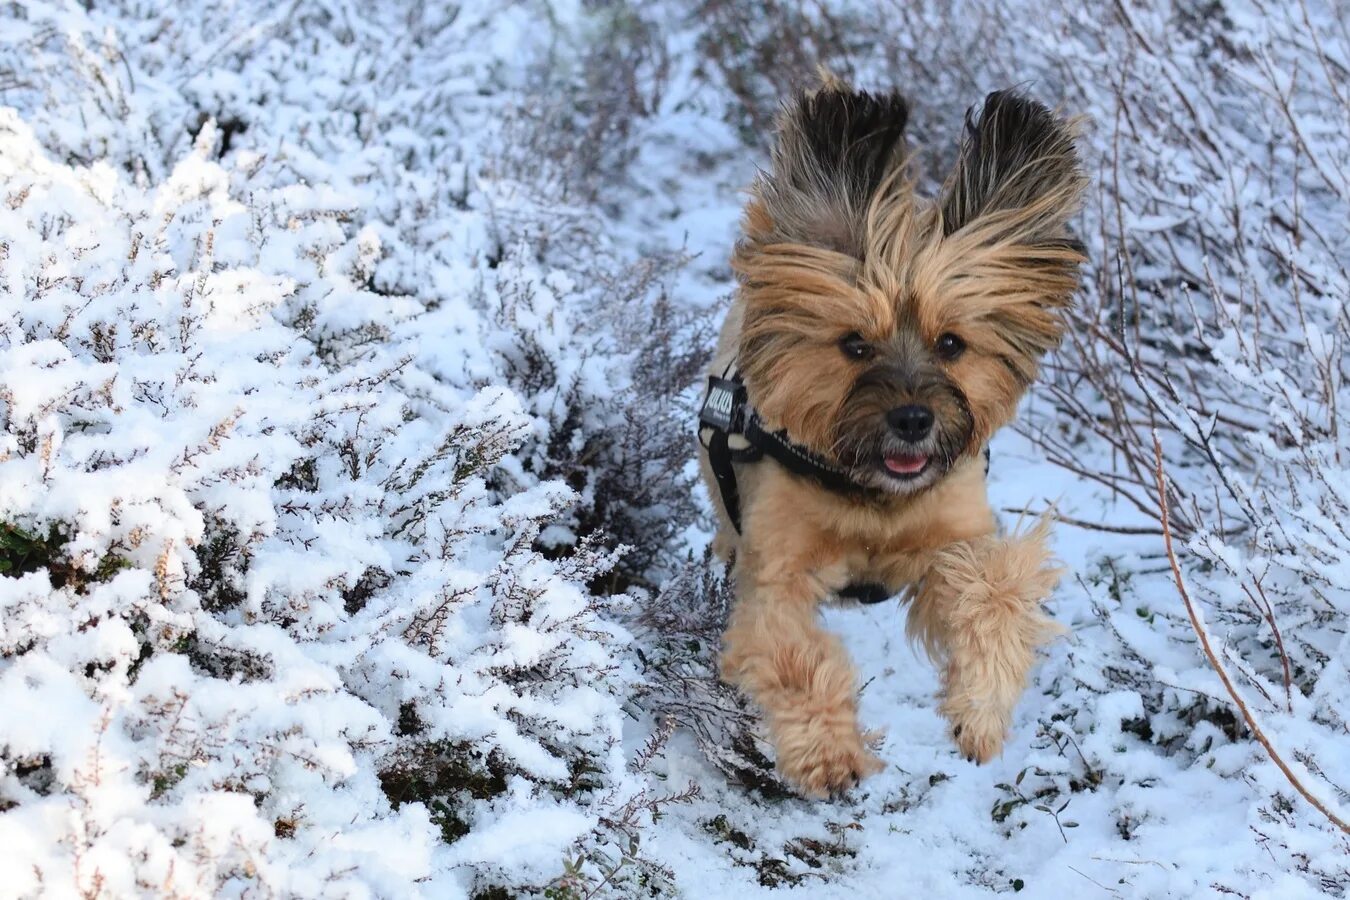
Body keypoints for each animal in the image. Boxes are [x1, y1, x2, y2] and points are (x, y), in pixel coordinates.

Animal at [696, 75, 1085, 793]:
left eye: (951, 343)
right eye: (854, 344)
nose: (912, 419)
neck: (872, 494)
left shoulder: (952, 539)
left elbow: (993, 593)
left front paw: (979, 710)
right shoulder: (778, 569)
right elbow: (791, 650)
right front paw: (829, 753)